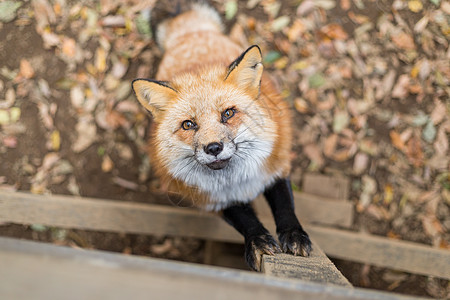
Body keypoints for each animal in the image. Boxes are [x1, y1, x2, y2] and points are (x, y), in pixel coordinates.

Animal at [132, 1, 312, 270]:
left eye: (228, 113)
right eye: (188, 124)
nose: (214, 148)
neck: (237, 182)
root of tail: (191, 33)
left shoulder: (275, 168)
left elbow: (285, 206)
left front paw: (293, 234)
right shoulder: (215, 201)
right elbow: (245, 221)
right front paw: (257, 241)